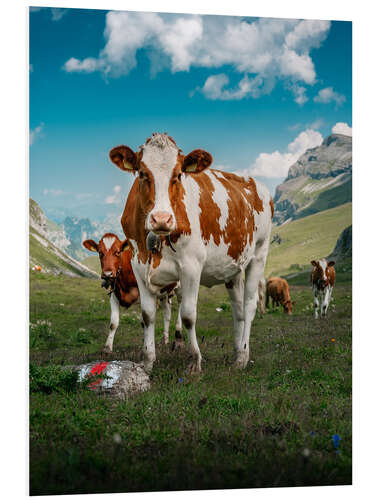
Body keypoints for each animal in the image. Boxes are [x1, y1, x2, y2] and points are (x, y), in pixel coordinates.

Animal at [109, 131, 274, 374]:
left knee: (249, 305)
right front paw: (147, 362)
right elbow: (147, 316)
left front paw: (195, 361)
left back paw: (243, 356)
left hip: (259, 254)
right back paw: (236, 354)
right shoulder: (138, 265)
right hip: (233, 267)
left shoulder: (191, 266)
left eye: (178, 174)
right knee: (238, 310)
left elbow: (188, 315)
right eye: (142, 173)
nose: (161, 218)